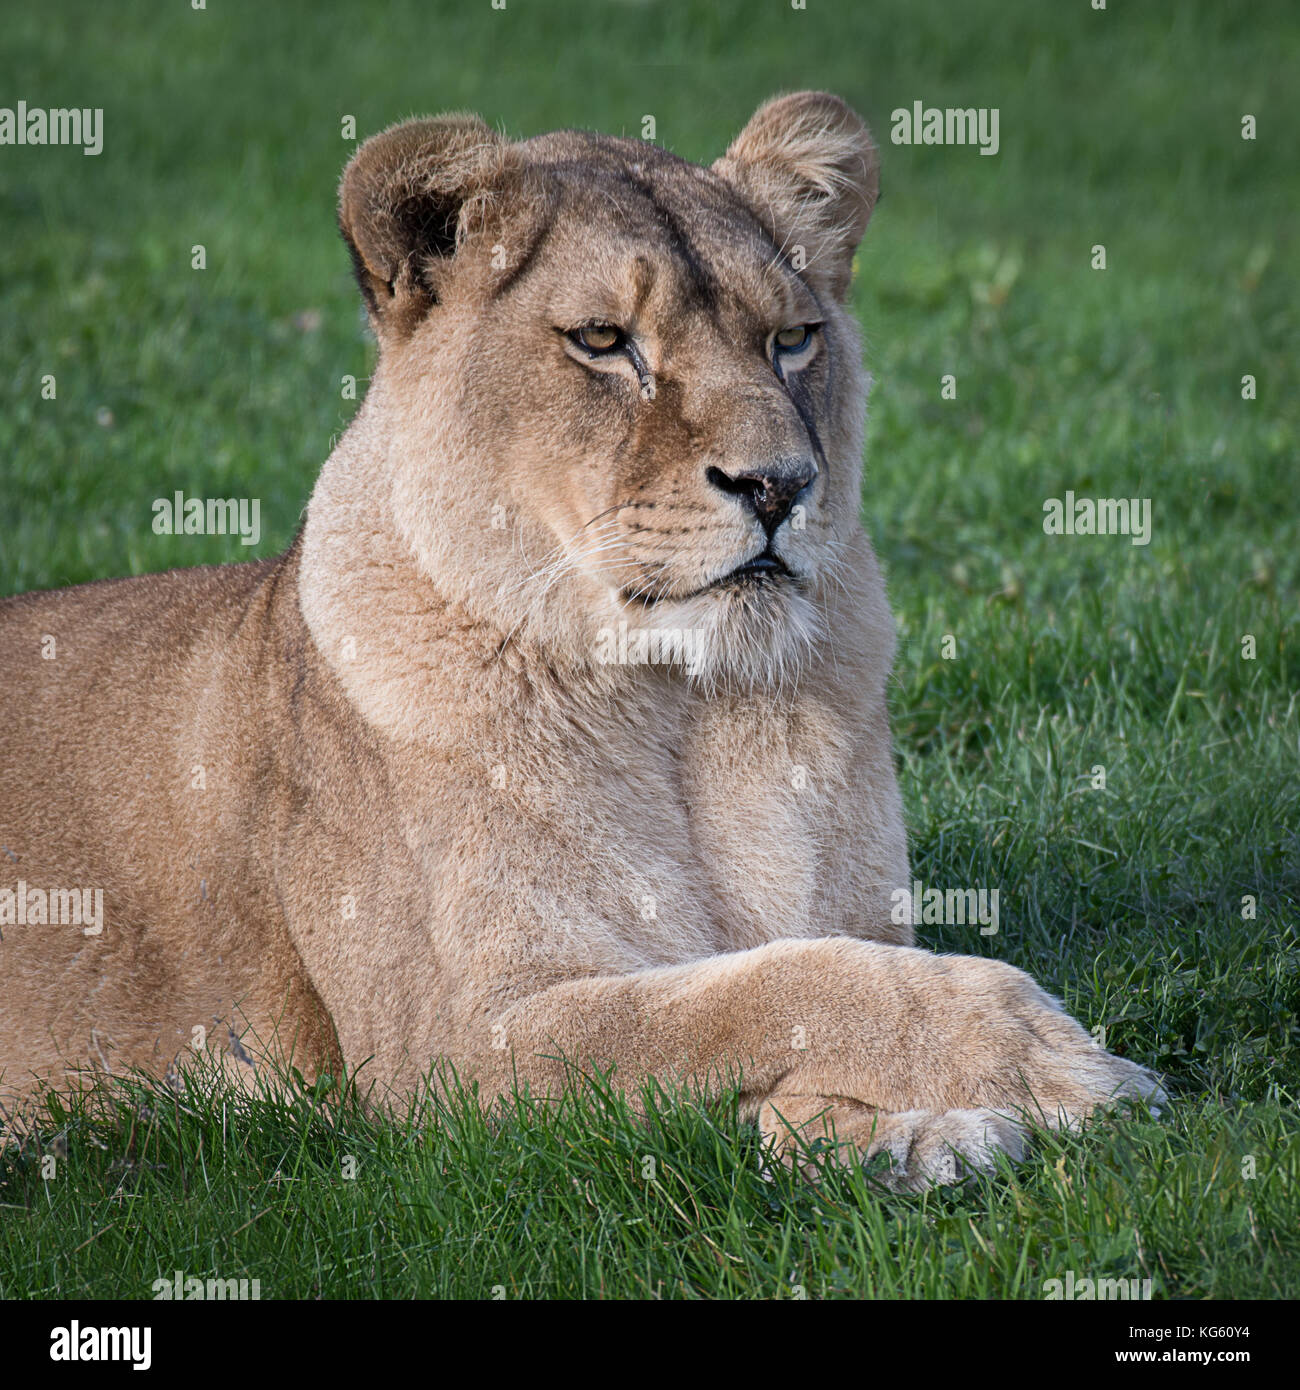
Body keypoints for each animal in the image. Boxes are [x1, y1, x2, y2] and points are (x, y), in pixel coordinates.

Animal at [0, 93, 1161, 1189]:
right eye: (604, 342)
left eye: (792, 340)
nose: (780, 484)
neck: (687, 710)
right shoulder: (452, 1053)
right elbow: (743, 998)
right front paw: (1043, 1057)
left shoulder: (853, 917)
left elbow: (803, 974)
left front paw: (899, 1129)